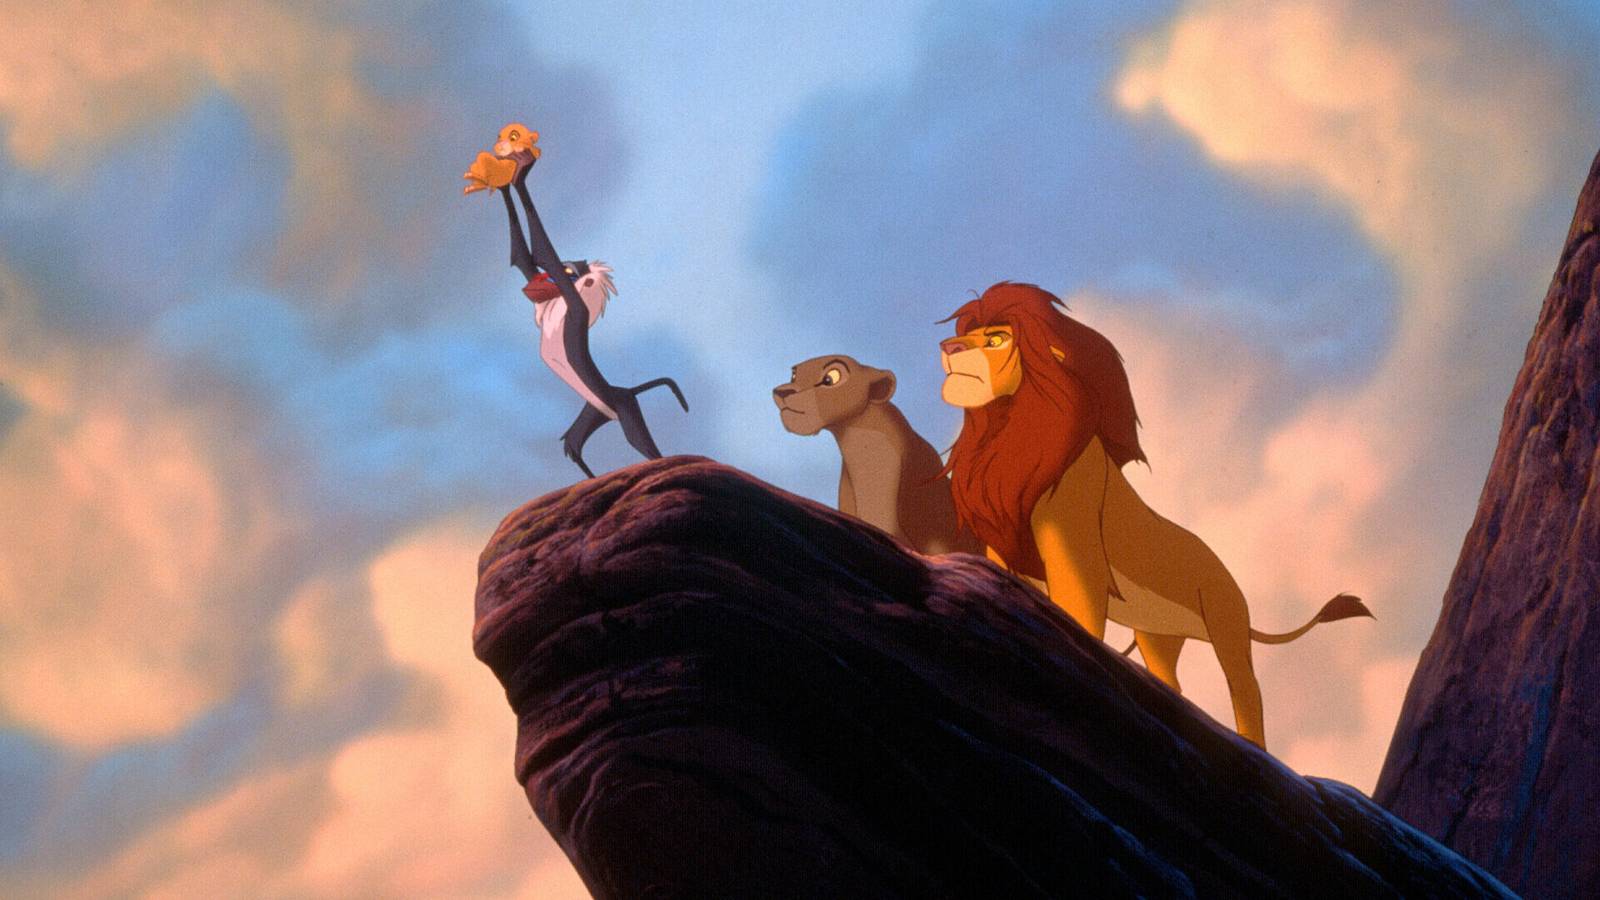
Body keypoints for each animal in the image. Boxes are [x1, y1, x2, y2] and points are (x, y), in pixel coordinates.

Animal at [938, 281, 1371, 748]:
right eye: (968, 334)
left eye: (997, 339)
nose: (948, 346)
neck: (1007, 430)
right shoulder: (1003, 544)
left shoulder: (1075, 537)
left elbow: (1078, 612)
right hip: (1158, 636)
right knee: (1172, 686)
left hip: (1226, 622)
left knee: (1247, 691)